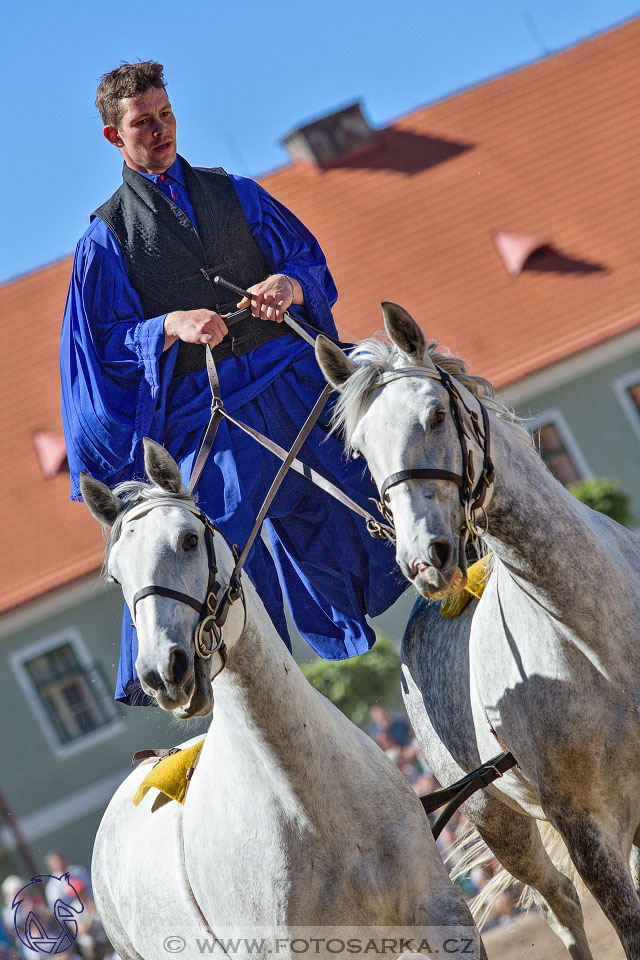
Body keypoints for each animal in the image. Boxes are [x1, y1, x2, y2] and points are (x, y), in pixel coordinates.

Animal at [318, 306, 640, 960]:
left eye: (436, 414)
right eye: (361, 450)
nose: (423, 560)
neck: (596, 639)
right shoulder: (587, 829)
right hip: (500, 821)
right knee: (560, 903)